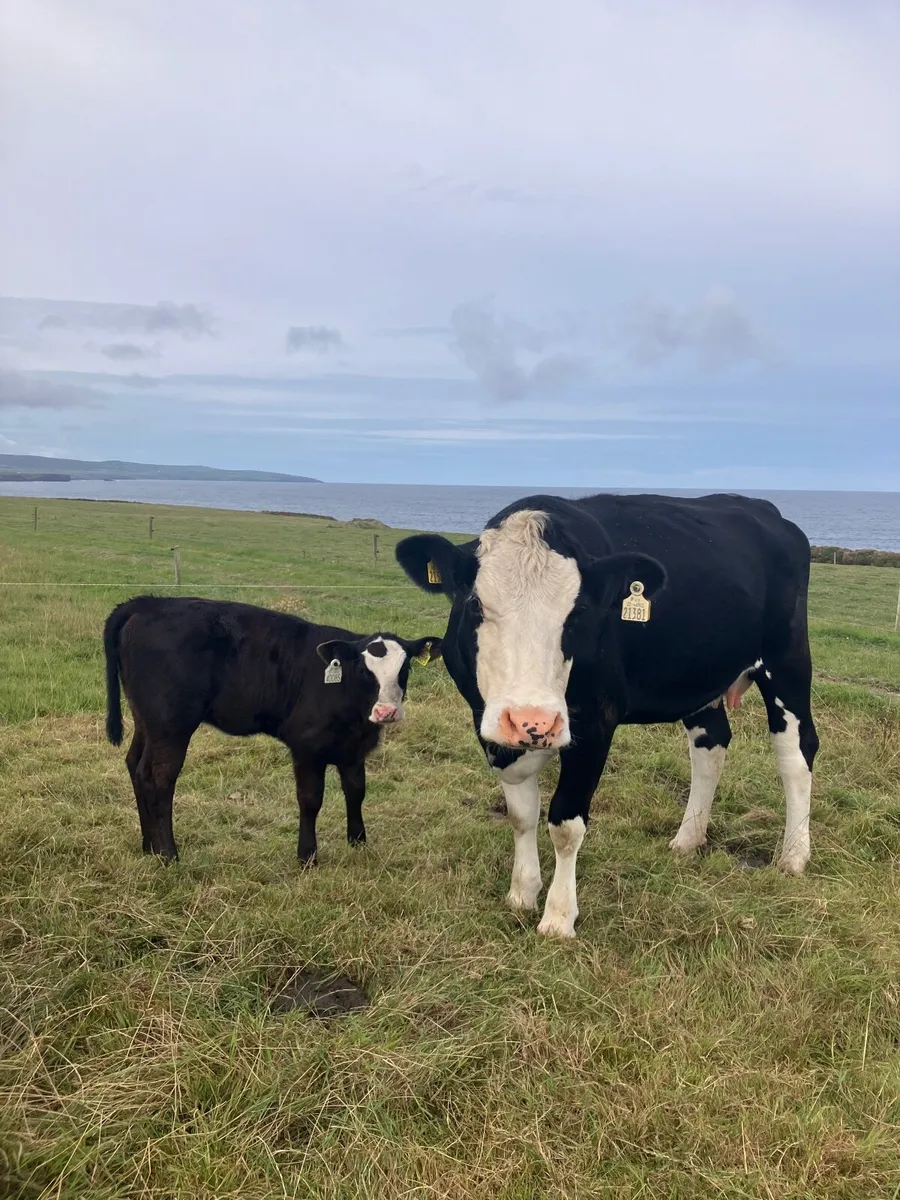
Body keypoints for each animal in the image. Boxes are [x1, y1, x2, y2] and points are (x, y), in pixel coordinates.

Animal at [103, 596, 442, 864]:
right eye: (362, 668)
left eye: (405, 668)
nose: (387, 712)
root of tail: (148, 602)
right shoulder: (306, 747)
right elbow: (310, 799)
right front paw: (307, 856)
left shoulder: (354, 749)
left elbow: (356, 792)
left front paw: (358, 842)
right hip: (171, 724)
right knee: (159, 777)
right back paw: (169, 854)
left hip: (146, 720)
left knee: (135, 765)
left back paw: (149, 847)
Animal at [396, 492, 818, 938]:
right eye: (475, 603)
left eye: (579, 611)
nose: (534, 721)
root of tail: (763, 510)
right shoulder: (491, 727)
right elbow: (521, 814)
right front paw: (522, 893)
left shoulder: (595, 723)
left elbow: (565, 823)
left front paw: (558, 918)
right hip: (701, 678)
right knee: (711, 746)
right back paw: (688, 839)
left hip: (787, 661)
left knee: (796, 752)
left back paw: (793, 855)